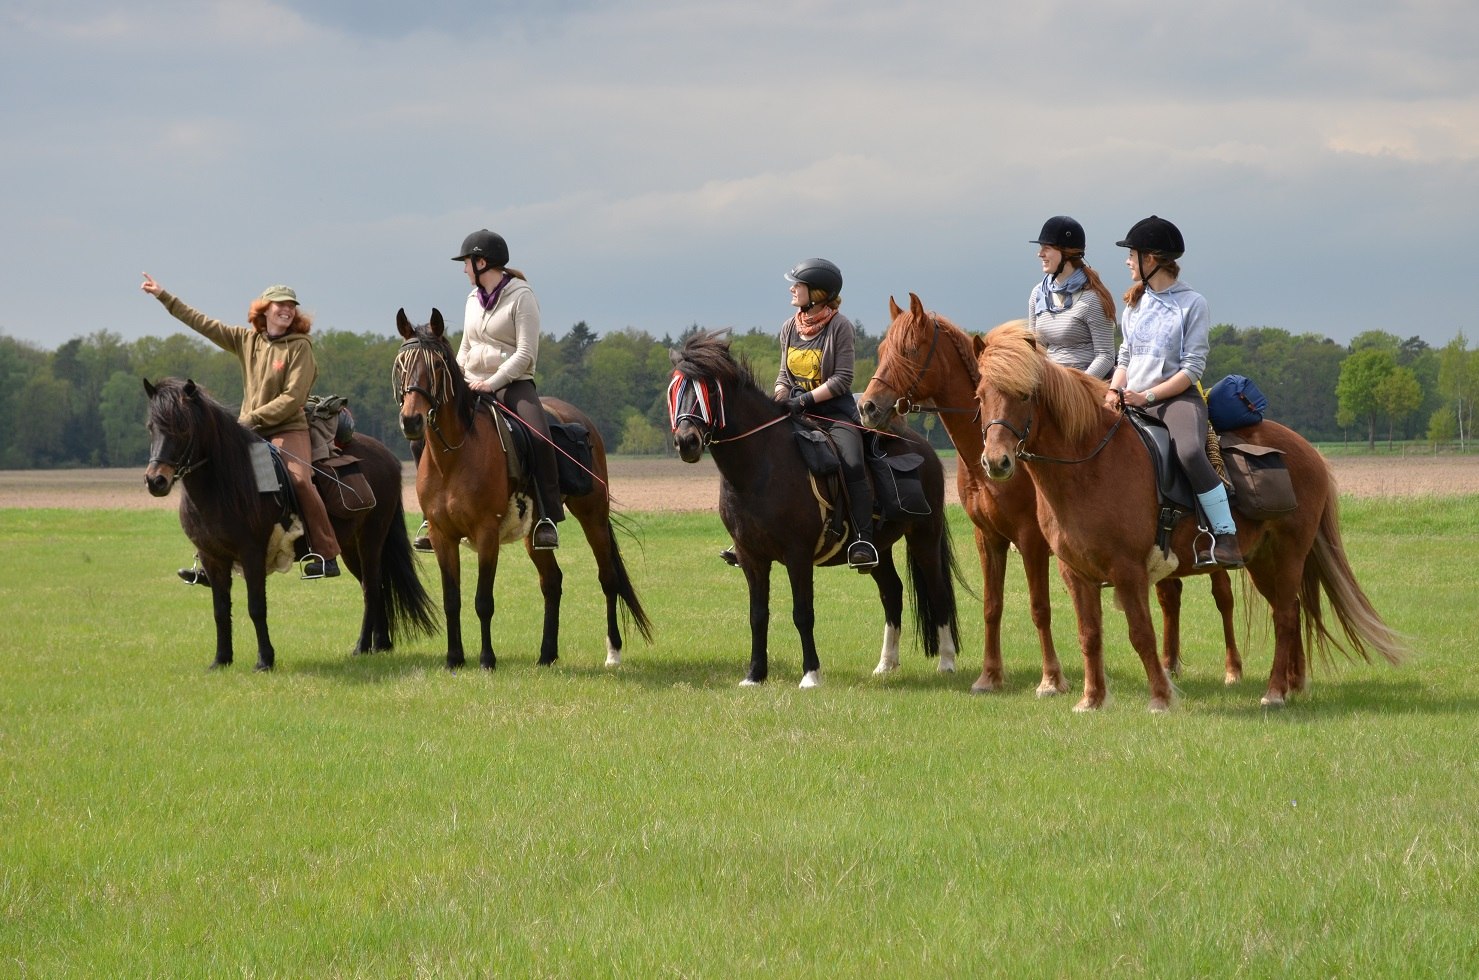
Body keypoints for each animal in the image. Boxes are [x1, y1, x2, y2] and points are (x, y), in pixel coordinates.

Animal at [141, 372, 434, 671]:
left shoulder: (252, 554)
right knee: (374, 586)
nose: (156, 480)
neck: (228, 481)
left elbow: (256, 607)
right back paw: (380, 643)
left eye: (183, 427)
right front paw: (221, 659)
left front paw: (264, 660)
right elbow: (220, 610)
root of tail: (387, 457)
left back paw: (361, 646)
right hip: (351, 546)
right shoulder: (212, 558)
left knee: (372, 589)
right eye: (152, 427)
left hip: (371, 539)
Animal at [393, 310, 653, 671]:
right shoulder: (442, 535)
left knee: (608, 578)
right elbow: (451, 600)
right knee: (552, 581)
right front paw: (454, 659)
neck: (454, 455)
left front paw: (487, 660)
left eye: (437, 367)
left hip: (593, 516)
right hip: (535, 533)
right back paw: (546, 655)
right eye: (401, 363)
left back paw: (612, 652)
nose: (412, 420)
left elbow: (483, 600)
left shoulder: (487, 533)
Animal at [668, 329, 964, 688]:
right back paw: (886, 664)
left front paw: (810, 674)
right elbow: (757, 615)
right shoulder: (752, 557)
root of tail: (926, 451)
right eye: (675, 388)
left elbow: (802, 613)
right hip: (878, 548)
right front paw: (754, 675)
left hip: (925, 536)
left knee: (938, 592)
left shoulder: (798, 554)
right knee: (892, 592)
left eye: (709, 389)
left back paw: (947, 662)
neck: (760, 466)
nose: (686, 441)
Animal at [857, 295, 1248, 694]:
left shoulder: (1031, 540)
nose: (868, 406)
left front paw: (1051, 679)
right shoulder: (989, 538)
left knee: (1223, 597)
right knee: (1170, 597)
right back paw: (1170, 667)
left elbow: (1039, 608)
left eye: (910, 349)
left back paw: (1232, 669)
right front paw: (989, 676)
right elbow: (992, 606)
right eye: (882, 350)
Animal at [976, 322, 1402, 712]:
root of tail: (1309, 451)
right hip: (1262, 561)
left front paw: (1161, 698)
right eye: (981, 396)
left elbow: (1141, 634)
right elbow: (1089, 634)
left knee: (1283, 616)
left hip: (1289, 554)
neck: (1089, 463)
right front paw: (1092, 699)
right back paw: (1292, 684)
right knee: (1292, 612)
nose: (996, 462)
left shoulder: (1128, 570)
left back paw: (1274, 692)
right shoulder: (1074, 572)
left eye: (1024, 395)